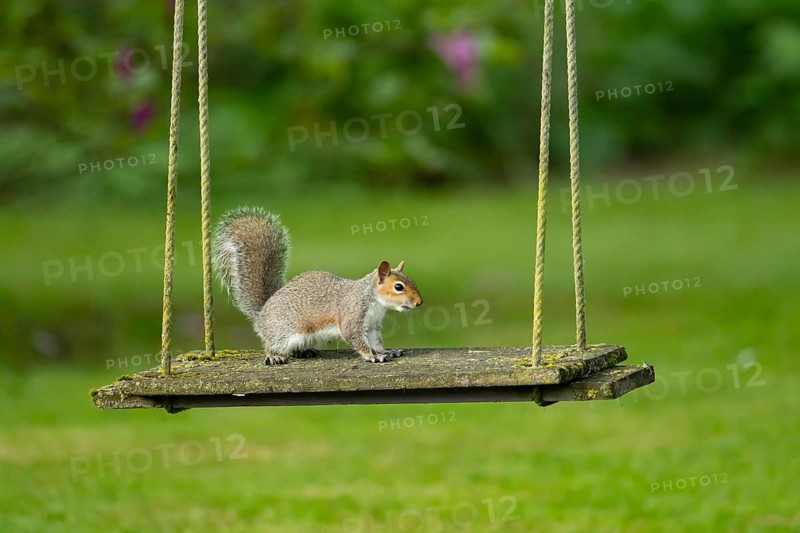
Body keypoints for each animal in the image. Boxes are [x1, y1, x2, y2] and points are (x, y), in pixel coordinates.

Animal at [212, 206, 423, 365]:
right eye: (398, 287)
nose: (419, 303)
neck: (373, 299)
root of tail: (262, 313)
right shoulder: (352, 315)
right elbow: (357, 339)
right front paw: (372, 356)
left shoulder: (372, 325)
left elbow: (375, 341)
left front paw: (386, 351)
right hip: (285, 331)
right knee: (271, 343)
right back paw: (274, 356)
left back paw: (303, 352)